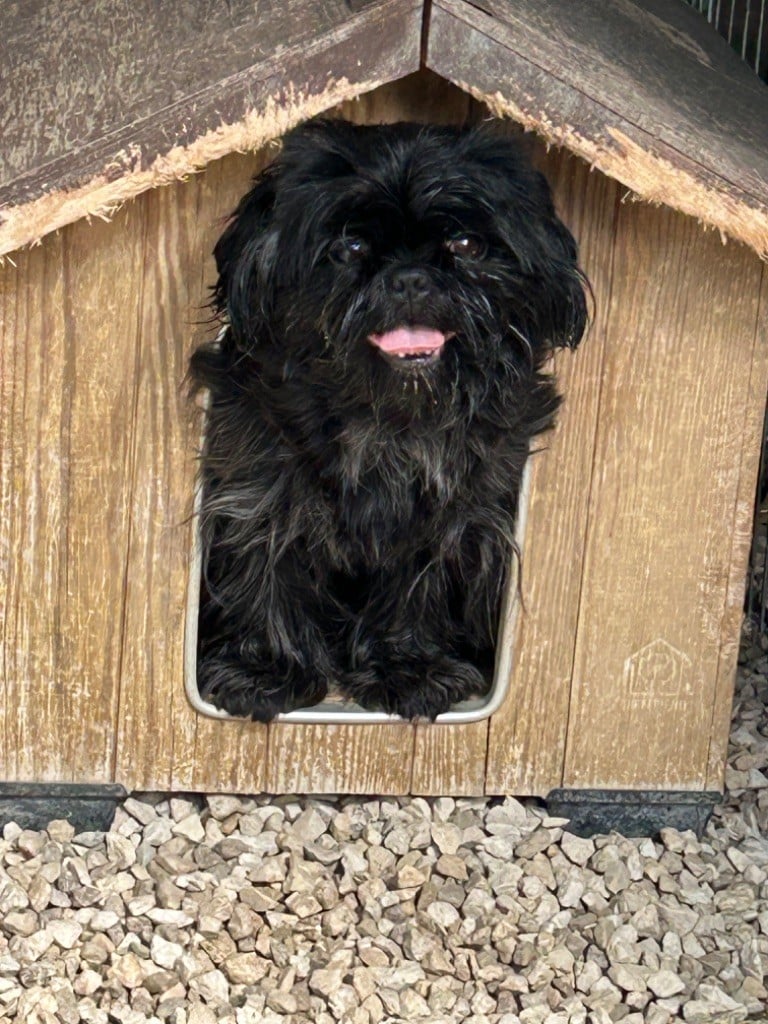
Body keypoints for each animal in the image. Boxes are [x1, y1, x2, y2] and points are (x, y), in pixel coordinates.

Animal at [189, 117, 585, 720]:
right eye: (349, 246)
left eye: (466, 244)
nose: (411, 277)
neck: (385, 421)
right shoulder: (258, 488)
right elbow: (266, 562)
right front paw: (265, 669)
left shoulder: (452, 513)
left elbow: (416, 582)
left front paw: (409, 667)